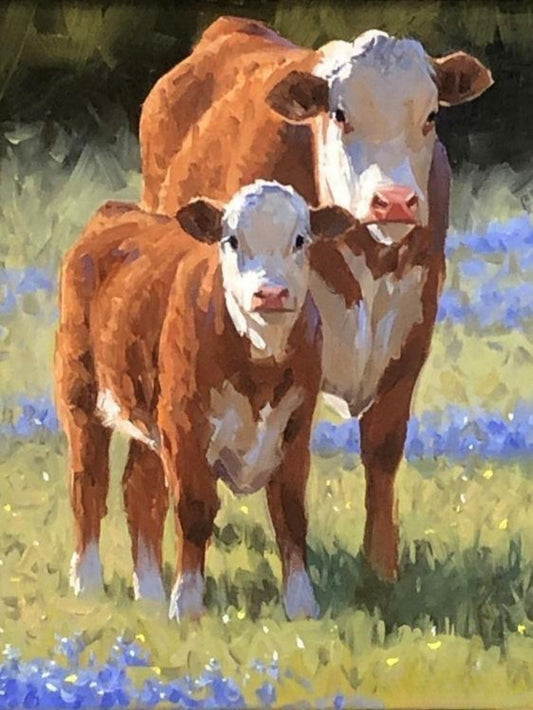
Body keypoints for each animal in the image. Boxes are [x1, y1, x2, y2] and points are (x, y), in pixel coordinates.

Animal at [54, 180, 354, 620]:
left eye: (301, 239)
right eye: (231, 240)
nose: (270, 293)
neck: (259, 366)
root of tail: (117, 211)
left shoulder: (295, 429)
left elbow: (291, 513)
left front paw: (302, 605)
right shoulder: (184, 425)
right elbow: (194, 510)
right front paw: (187, 604)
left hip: (150, 415)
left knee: (140, 491)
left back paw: (149, 593)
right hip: (80, 394)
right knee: (88, 483)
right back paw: (87, 583)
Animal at [138, 16, 493, 582]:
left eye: (432, 114)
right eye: (340, 114)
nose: (395, 201)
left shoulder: (412, 336)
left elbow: (382, 449)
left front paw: (381, 571)